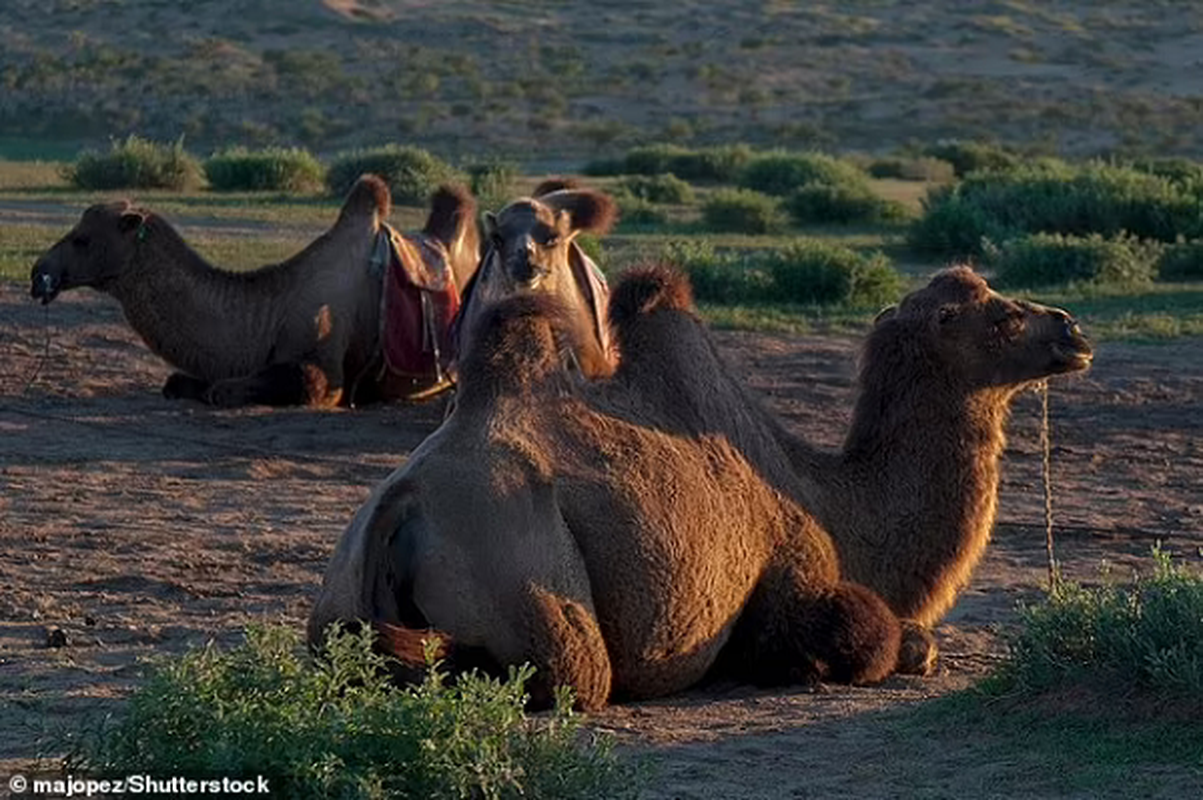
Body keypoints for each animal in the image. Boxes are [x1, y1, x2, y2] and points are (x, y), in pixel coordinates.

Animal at [29, 178, 478, 409]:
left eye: (83, 239)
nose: (39, 273)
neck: (270, 313)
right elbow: (180, 381)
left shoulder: (327, 371)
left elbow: (231, 389)